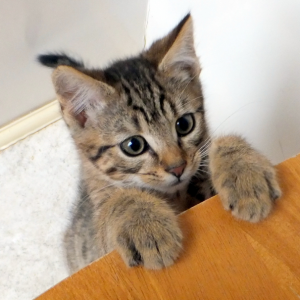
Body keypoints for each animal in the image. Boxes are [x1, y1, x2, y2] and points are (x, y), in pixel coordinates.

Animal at [38, 14, 282, 274]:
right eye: (133, 145)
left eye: (184, 124)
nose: (177, 168)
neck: (176, 196)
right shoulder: (100, 249)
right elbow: (120, 199)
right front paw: (144, 223)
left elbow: (218, 143)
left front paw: (245, 174)